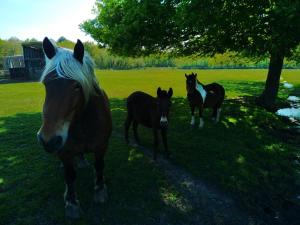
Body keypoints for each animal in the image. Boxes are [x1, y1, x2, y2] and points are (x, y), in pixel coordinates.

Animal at [37, 37, 112, 219]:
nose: (48, 140)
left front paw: (100, 191)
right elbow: (69, 175)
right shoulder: (64, 151)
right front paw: (71, 203)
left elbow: (99, 166)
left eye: (77, 86)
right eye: (46, 84)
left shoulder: (102, 146)